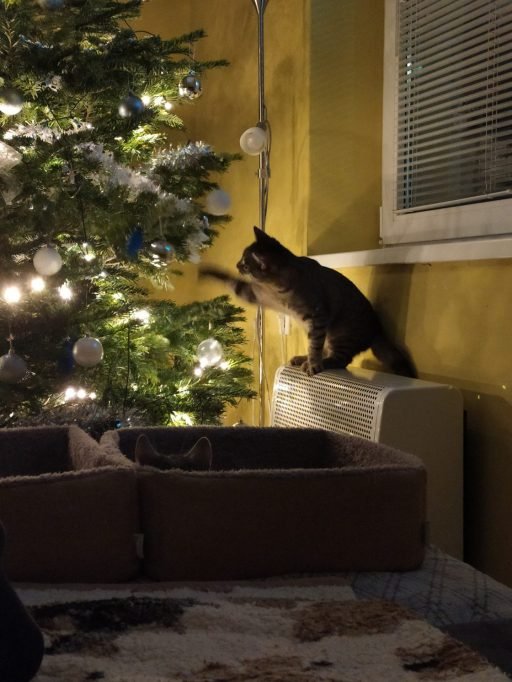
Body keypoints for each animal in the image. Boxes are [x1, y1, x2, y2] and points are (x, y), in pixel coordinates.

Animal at [199, 226, 416, 377]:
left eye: (245, 263)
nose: (236, 264)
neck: (276, 290)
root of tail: (378, 329)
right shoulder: (256, 294)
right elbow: (229, 280)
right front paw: (207, 271)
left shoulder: (317, 316)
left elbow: (314, 346)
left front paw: (313, 365)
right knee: (325, 350)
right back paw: (302, 358)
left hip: (340, 335)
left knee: (340, 359)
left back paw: (319, 362)